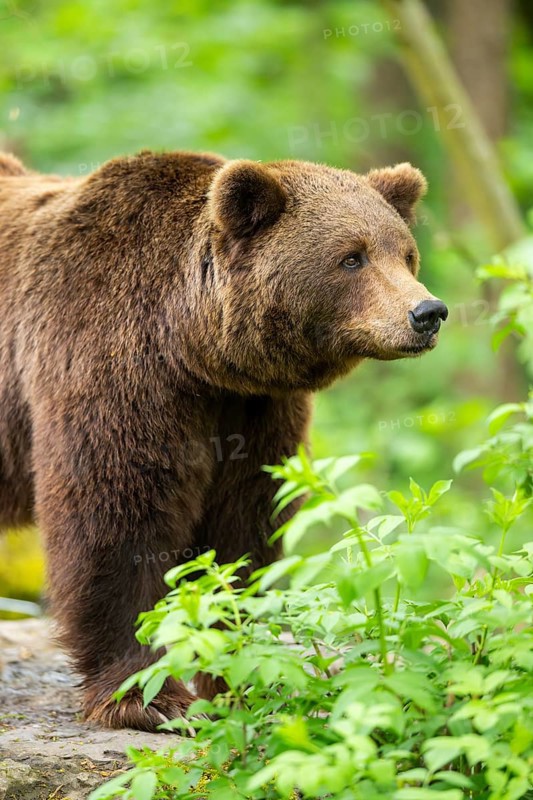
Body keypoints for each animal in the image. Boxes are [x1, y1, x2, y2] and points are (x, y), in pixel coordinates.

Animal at [0, 150, 447, 731]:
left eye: (406, 255)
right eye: (352, 257)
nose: (427, 313)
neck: (191, 350)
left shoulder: (253, 411)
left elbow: (243, 529)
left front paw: (243, 678)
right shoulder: (108, 367)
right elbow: (116, 521)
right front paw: (149, 697)